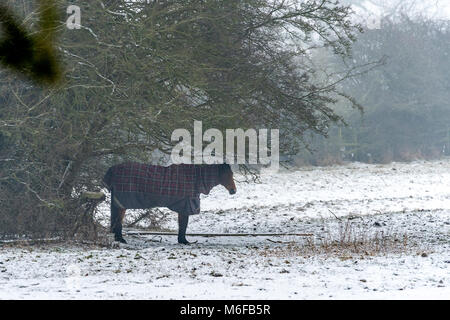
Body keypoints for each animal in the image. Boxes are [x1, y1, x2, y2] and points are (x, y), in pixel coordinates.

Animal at [102, 164, 236, 244]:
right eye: (227, 175)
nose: (233, 191)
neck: (194, 179)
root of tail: (113, 169)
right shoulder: (185, 207)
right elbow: (183, 225)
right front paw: (184, 241)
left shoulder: (183, 207)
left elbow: (182, 225)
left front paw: (182, 240)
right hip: (122, 203)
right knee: (118, 221)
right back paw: (120, 239)